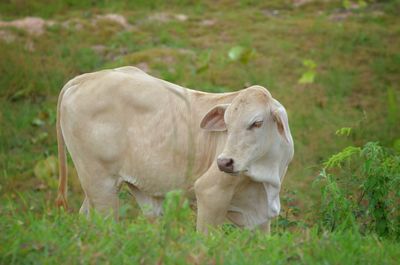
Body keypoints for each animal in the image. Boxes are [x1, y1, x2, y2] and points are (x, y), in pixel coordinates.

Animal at [55, 66, 294, 233]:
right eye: (227, 124)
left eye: (257, 123)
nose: (224, 162)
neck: (266, 175)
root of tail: (85, 78)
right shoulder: (210, 192)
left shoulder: (260, 217)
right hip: (100, 183)